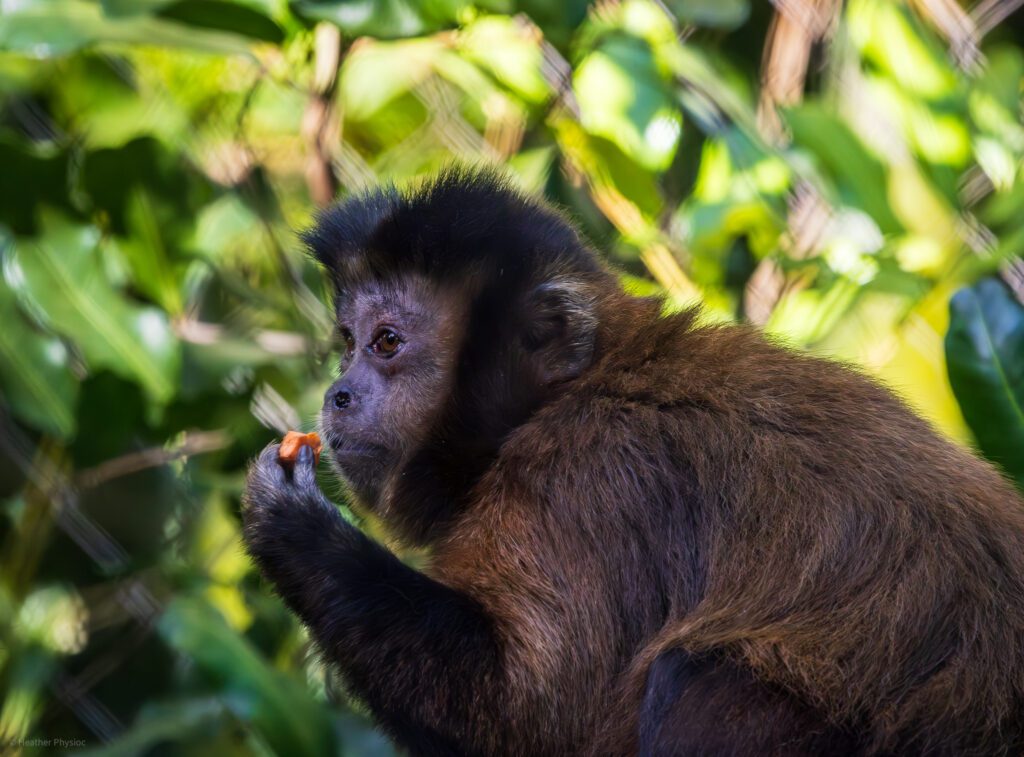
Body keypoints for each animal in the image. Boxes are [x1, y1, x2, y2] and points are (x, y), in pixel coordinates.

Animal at [242, 168, 1024, 756]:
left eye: (387, 342)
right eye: (348, 342)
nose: (337, 393)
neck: (571, 388)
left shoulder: (586, 474)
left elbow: (533, 718)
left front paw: (292, 525)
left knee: (697, 679)